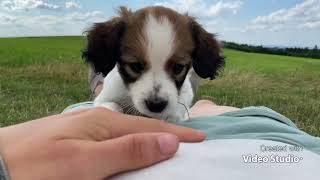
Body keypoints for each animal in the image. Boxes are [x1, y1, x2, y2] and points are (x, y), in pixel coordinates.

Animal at [82, 5, 224, 122]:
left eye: (178, 67)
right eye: (135, 66)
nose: (156, 105)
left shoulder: (185, 92)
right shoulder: (103, 98)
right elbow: (112, 106)